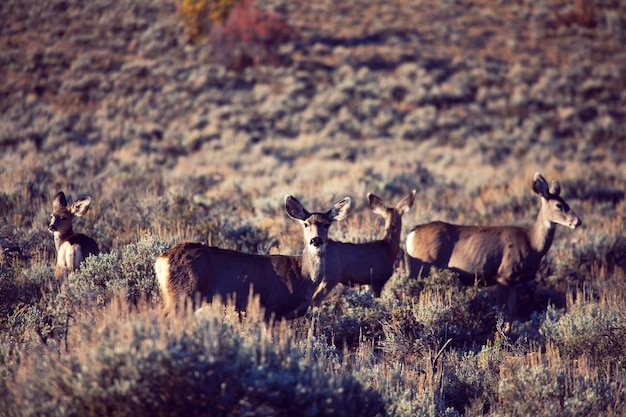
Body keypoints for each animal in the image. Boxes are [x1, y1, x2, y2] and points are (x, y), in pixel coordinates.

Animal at [154, 194, 352, 318]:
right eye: (305, 224)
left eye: (326, 224)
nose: (316, 240)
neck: (301, 275)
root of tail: (161, 260)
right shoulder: (270, 307)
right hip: (183, 294)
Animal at [404, 172, 580, 318]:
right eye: (558, 205)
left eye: (567, 203)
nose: (577, 221)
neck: (532, 244)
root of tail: (411, 234)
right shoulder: (504, 275)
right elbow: (503, 311)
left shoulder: (514, 281)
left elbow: (513, 312)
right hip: (421, 267)